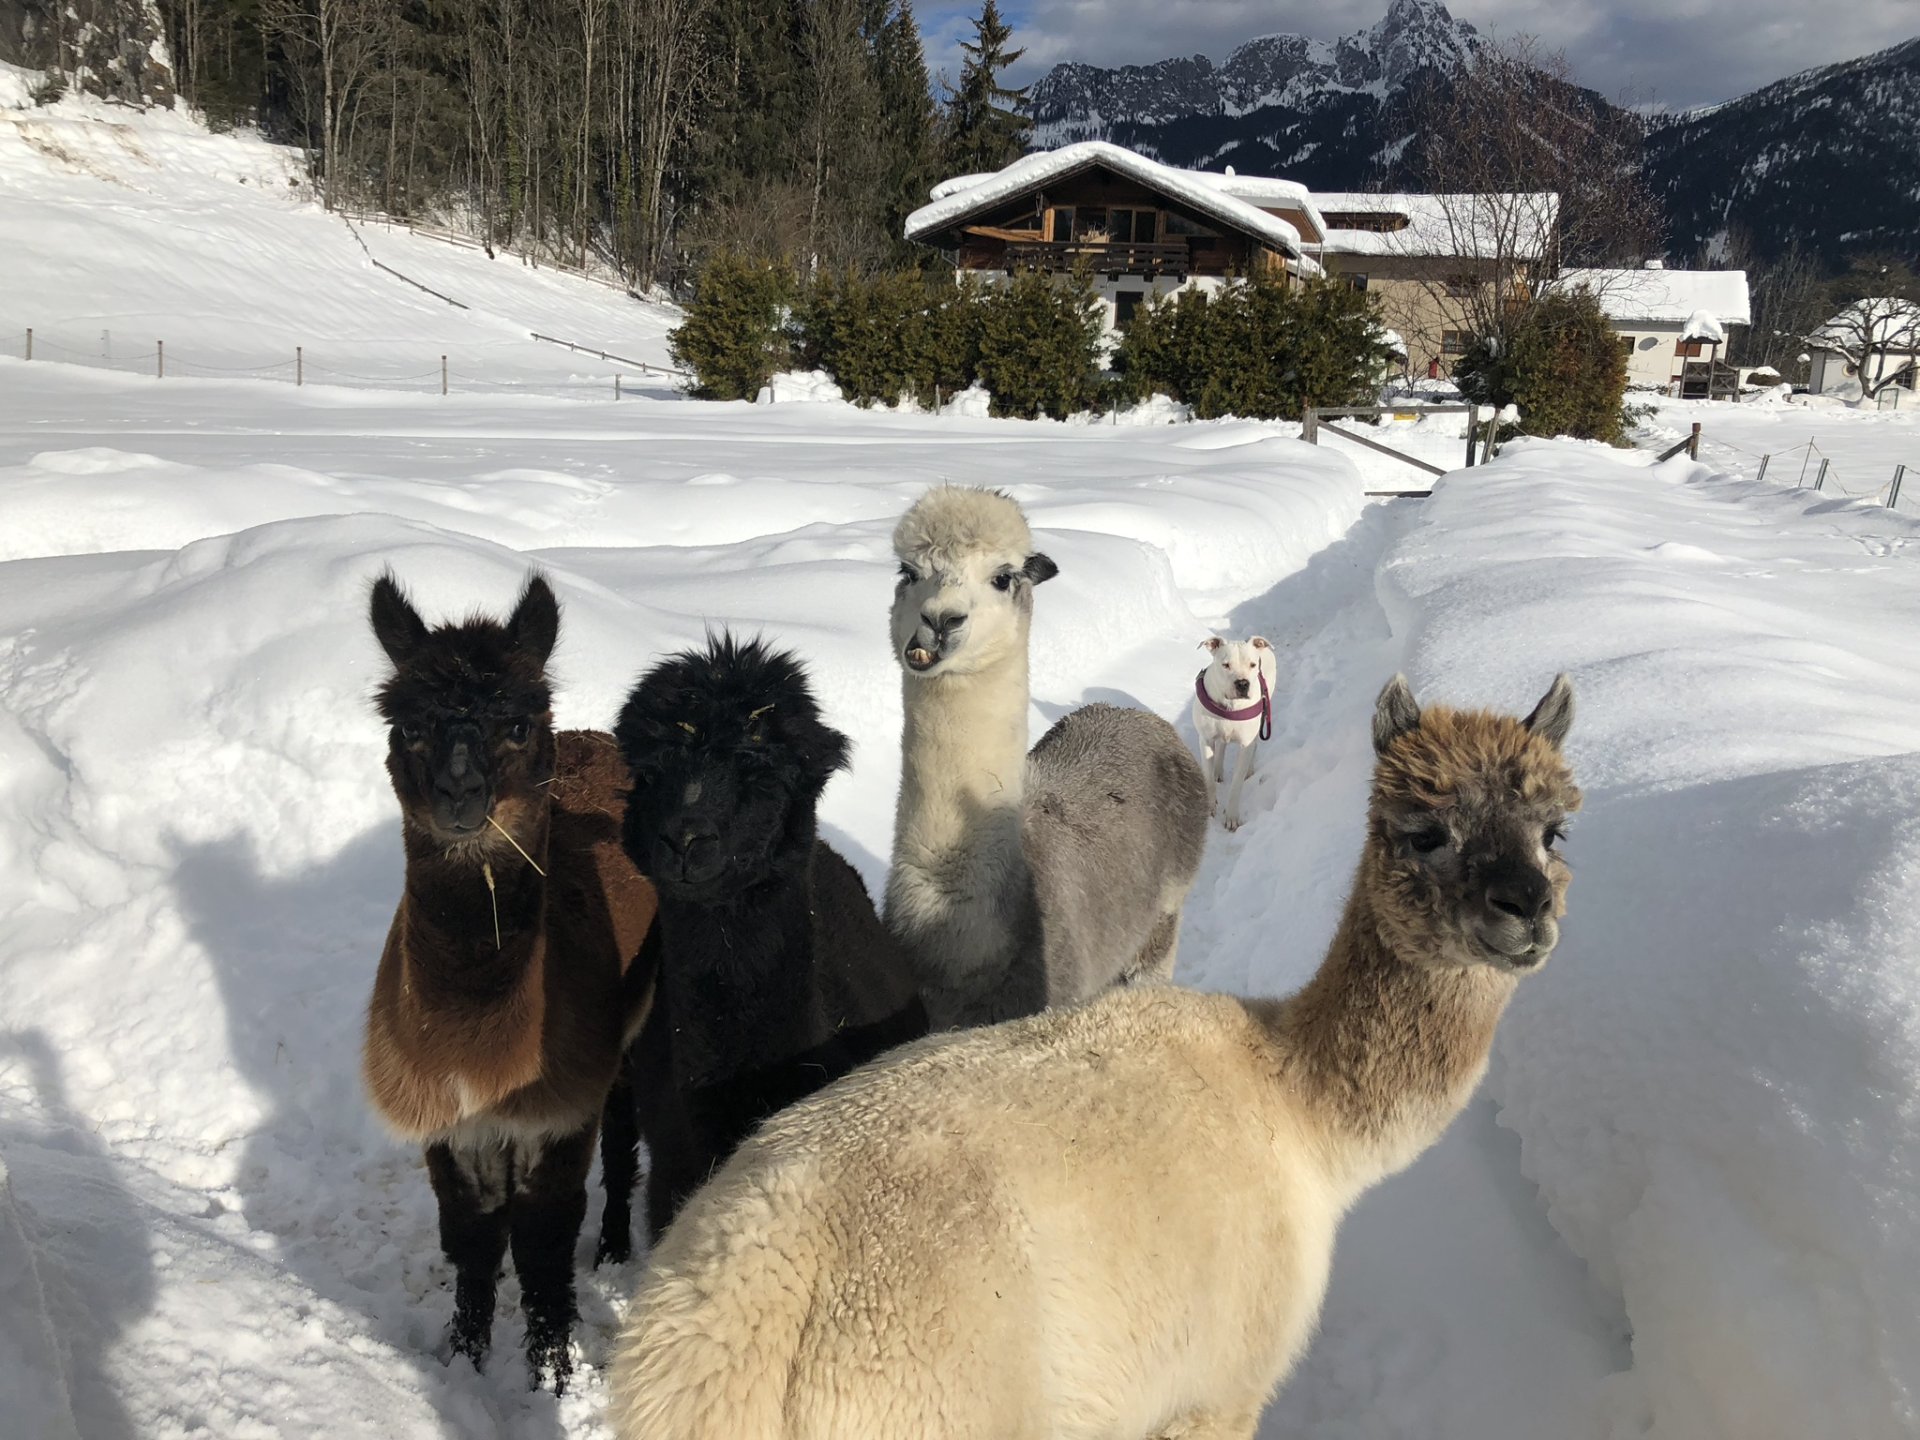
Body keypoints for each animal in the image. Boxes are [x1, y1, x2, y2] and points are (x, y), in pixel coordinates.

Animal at [1182, 641, 1274, 833]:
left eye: (1252, 665)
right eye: (1226, 665)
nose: (1242, 683)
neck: (1230, 706)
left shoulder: (1245, 744)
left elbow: (1236, 783)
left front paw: (1231, 816)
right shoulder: (1206, 740)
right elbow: (1208, 777)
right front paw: (1209, 807)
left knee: (1254, 744)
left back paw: (1249, 770)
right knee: (1222, 746)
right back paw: (1218, 770)